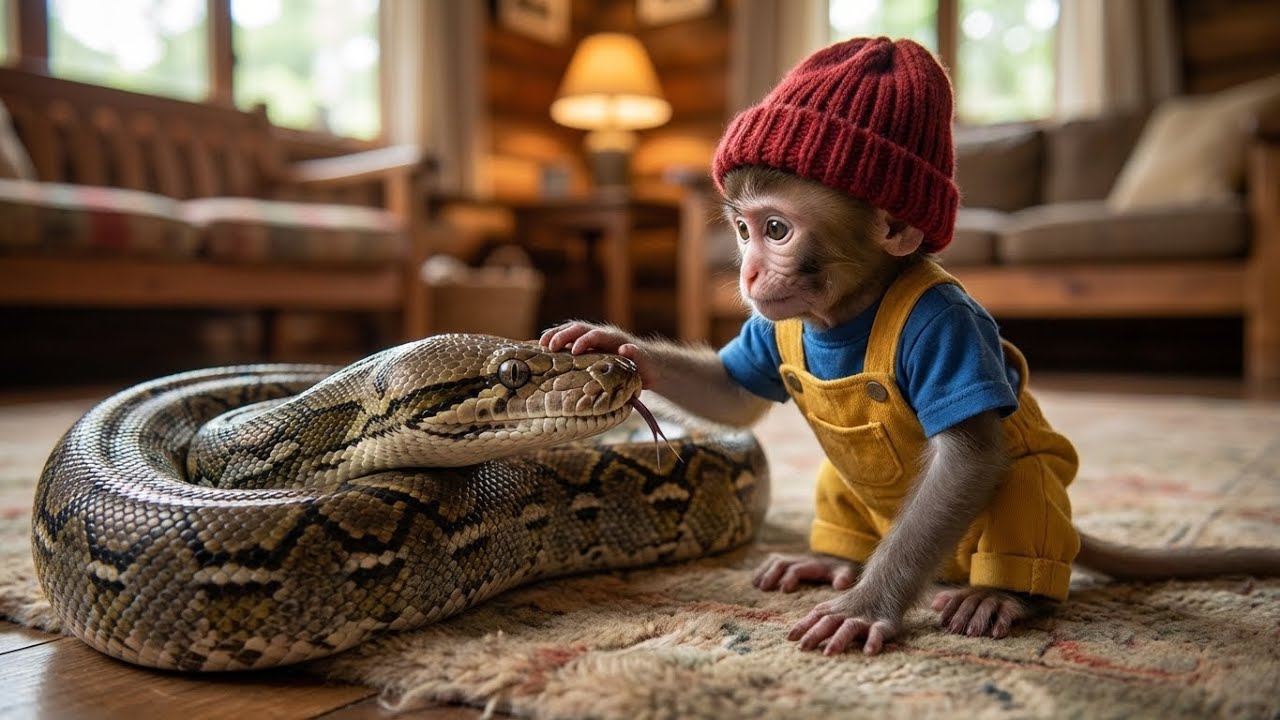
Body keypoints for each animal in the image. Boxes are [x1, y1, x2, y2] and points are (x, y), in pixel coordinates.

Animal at [540, 37, 1280, 656]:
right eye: (742, 230)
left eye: (776, 229)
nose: (748, 274)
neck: (844, 316)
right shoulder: (768, 332)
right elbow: (730, 392)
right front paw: (609, 340)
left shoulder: (949, 330)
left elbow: (964, 460)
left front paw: (869, 607)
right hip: (846, 488)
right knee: (838, 485)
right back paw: (833, 559)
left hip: (1028, 498)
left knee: (1016, 488)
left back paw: (998, 596)